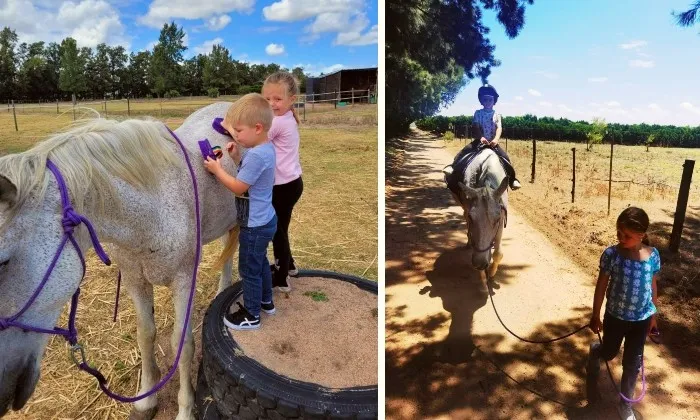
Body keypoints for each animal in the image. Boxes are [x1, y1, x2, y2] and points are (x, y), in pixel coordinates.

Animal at [0, 102, 241, 420]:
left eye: (2, 262)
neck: (153, 205)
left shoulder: (183, 280)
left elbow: (183, 344)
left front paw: (185, 409)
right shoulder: (134, 279)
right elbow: (146, 335)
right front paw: (145, 401)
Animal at [446, 147, 509, 285]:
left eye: (497, 219)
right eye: (471, 217)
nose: (480, 264)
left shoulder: (501, 218)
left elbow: (498, 253)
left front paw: (491, 273)